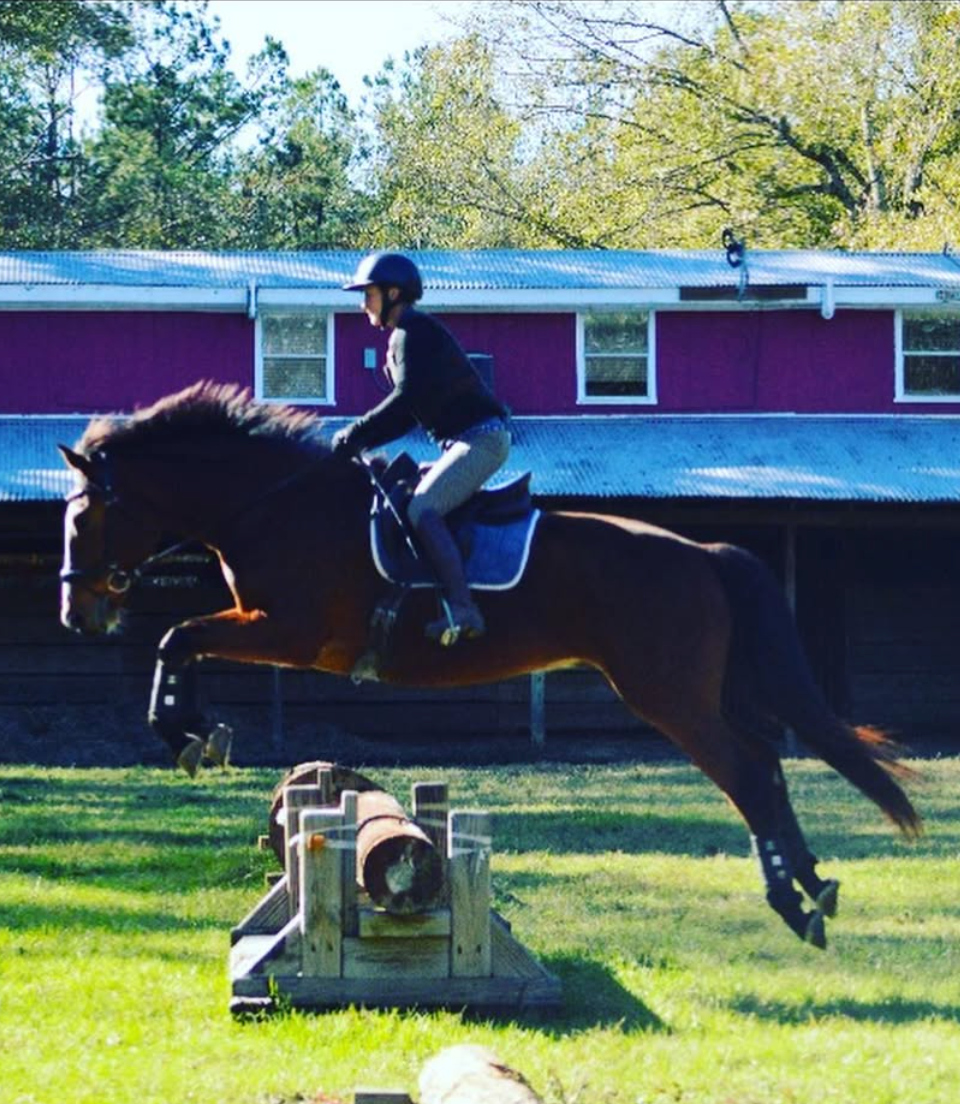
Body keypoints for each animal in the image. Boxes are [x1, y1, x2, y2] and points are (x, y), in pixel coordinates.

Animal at [58, 380, 921, 949]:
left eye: (85, 519)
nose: (77, 614)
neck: (273, 503)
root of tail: (704, 553)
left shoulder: (291, 632)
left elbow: (177, 636)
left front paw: (187, 733)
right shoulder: (275, 630)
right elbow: (181, 639)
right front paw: (192, 732)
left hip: (669, 695)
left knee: (746, 772)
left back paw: (792, 902)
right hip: (702, 690)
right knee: (767, 762)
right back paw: (813, 884)